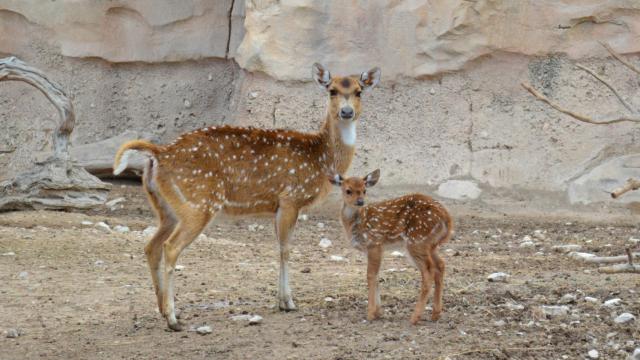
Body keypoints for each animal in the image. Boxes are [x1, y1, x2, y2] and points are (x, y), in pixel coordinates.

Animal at [112, 63, 380, 330]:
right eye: (332, 90)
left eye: (359, 91)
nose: (346, 112)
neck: (321, 158)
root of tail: (159, 154)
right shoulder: (291, 198)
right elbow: (286, 249)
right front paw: (289, 302)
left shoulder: (278, 206)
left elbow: (279, 247)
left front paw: (281, 301)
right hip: (199, 203)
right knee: (170, 247)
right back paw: (173, 318)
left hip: (166, 208)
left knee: (151, 246)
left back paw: (161, 309)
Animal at [330, 170, 456, 324]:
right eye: (348, 190)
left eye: (364, 190)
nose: (360, 201)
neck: (355, 224)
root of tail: (447, 219)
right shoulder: (375, 248)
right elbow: (377, 275)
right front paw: (378, 312)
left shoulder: (374, 243)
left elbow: (370, 275)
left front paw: (371, 313)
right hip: (430, 244)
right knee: (441, 265)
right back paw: (435, 314)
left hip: (416, 240)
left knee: (429, 271)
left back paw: (414, 317)